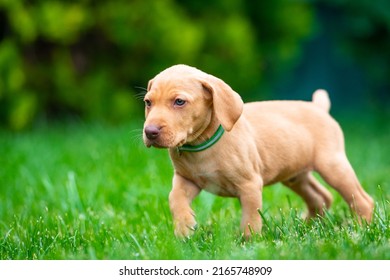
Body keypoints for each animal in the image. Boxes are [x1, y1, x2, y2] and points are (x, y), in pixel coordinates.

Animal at [142, 64, 374, 237]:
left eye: (179, 101)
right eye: (148, 102)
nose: (150, 132)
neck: (201, 145)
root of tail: (318, 107)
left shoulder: (250, 185)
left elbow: (250, 220)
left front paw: (248, 244)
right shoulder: (187, 180)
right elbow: (175, 197)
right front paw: (184, 227)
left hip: (332, 165)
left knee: (362, 199)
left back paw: (361, 228)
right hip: (296, 175)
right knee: (321, 197)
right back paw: (309, 226)